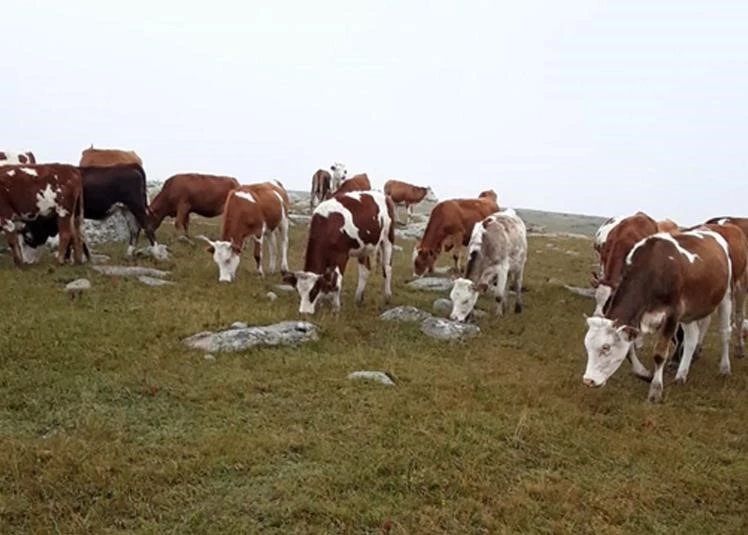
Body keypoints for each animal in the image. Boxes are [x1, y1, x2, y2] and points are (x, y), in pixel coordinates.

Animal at [18, 164, 163, 262]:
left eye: (28, 237)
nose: (26, 261)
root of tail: (130, 166)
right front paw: (82, 257)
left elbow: (70, 234)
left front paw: (68, 258)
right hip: (126, 209)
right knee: (134, 229)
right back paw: (129, 253)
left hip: (136, 205)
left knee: (147, 226)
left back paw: (156, 253)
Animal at [580, 229, 732, 402]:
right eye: (587, 346)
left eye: (606, 347)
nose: (588, 380)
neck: (653, 270)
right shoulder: (637, 318)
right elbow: (629, 350)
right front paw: (643, 373)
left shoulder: (672, 315)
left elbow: (659, 354)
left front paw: (656, 389)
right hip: (688, 314)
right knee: (692, 338)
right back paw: (681, 374)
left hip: (726, 296)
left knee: (724, 333)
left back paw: (725, 368)